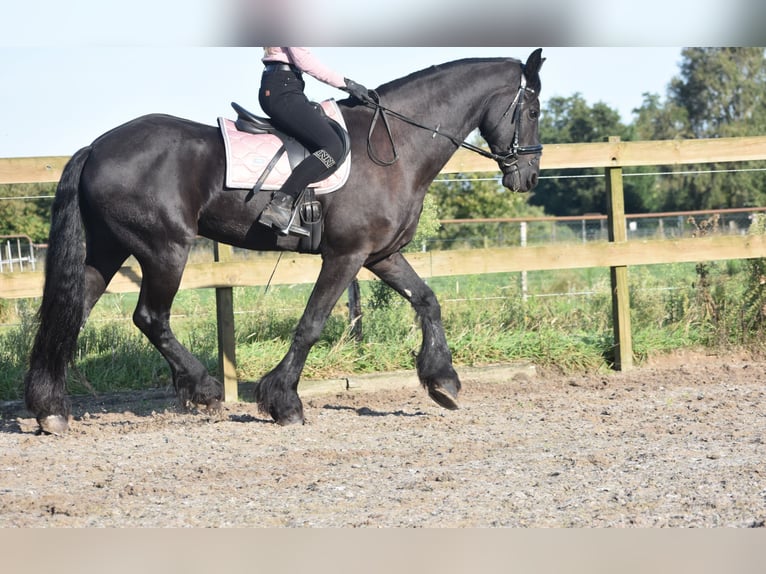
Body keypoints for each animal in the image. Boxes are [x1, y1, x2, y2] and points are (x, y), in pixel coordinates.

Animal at [24, 50, 544, 436]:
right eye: (534, 110)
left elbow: (427, 300)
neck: (394, 147)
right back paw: (204, 390)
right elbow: (311, 324)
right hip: (164, 249)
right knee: (150, 318)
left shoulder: (381, 254)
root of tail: (97, 147)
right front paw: (283, 402)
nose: (528, 177)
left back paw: (51, 409)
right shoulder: (346, 255)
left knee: (73, 313)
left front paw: (443, 382)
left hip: (108, 250)